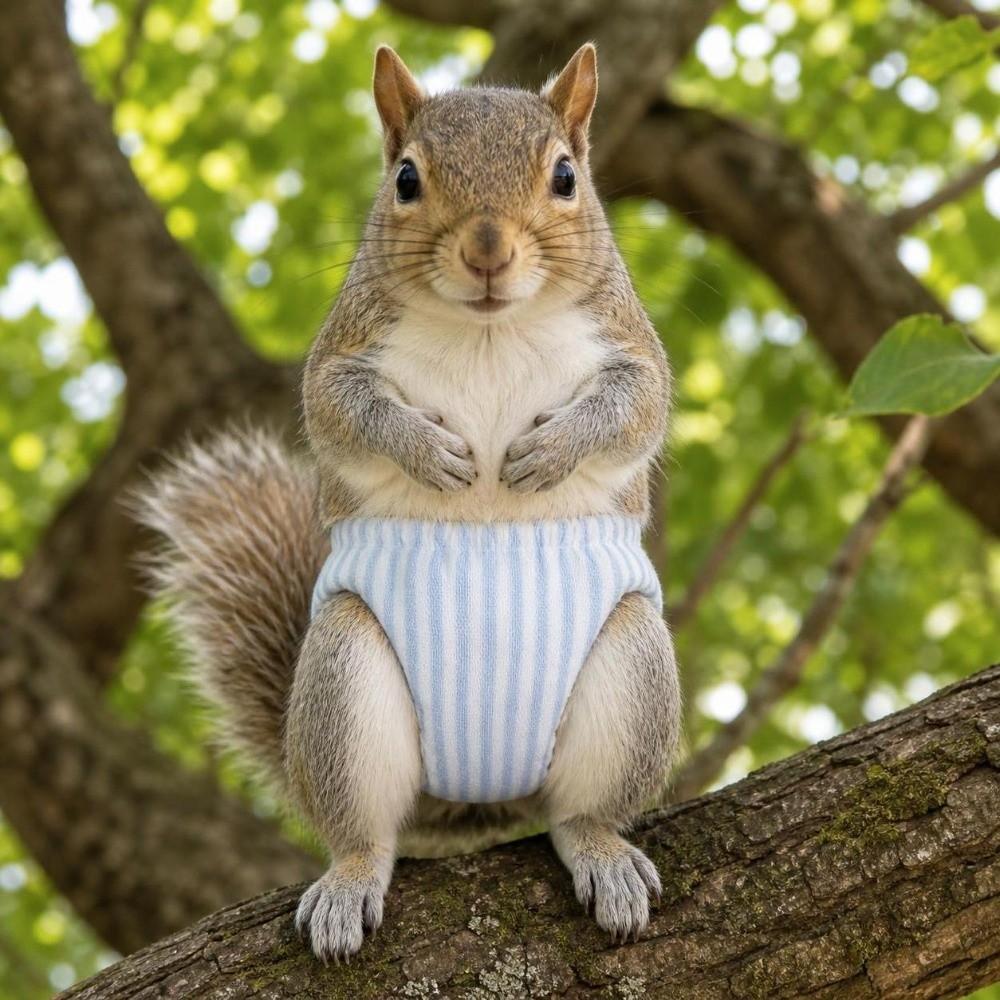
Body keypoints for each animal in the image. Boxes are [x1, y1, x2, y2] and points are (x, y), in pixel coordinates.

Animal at [137, 43, 680, 963]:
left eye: (566, 176)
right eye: (405, 179)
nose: (488, 250)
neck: (490, 328)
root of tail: (476, 795)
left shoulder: (630, 345)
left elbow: (637, 408)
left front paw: (548, 452)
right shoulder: (341, 355)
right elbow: (341, 410)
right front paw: (431, 454)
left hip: (633, 669)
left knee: (578, 815)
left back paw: (603, 854)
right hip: (344, 678)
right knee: (364, 829)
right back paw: (349, 880)